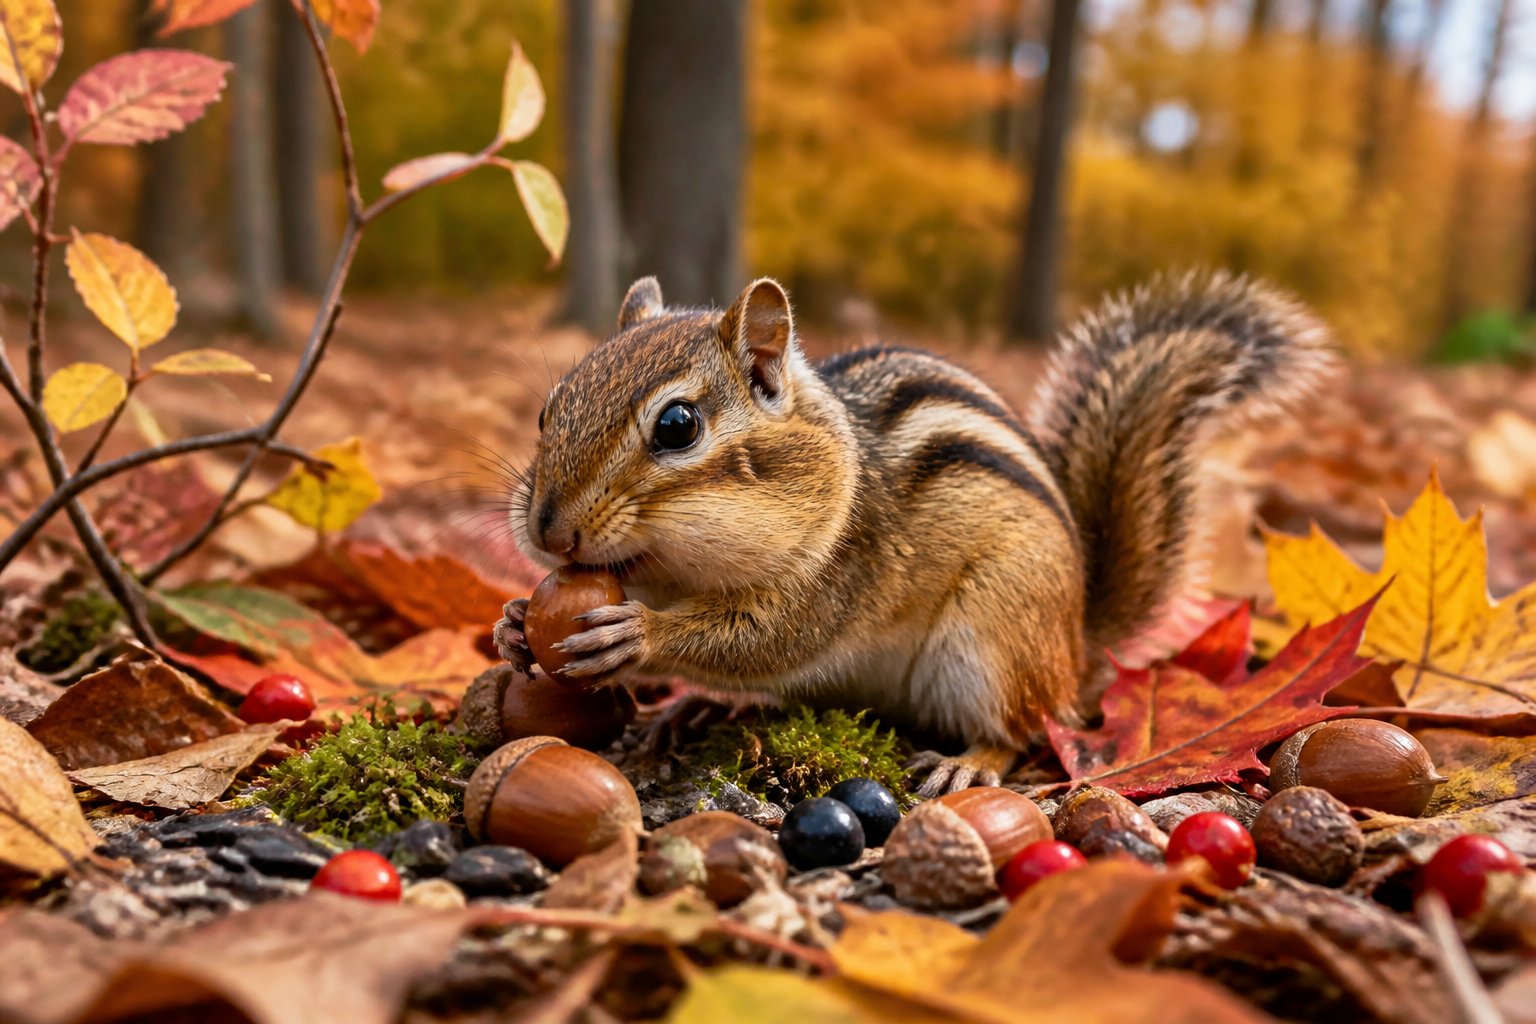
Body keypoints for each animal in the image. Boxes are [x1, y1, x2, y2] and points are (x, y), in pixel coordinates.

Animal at [493, 271, 1335, 796]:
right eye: (549, 407)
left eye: (677, 426)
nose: (547, 530)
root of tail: (1077, 645)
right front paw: (512, 623)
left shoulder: (837, 572)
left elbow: (765, 637)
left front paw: (636, 636)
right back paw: (689, 711)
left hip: (995, 635)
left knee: (1024, 726)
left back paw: (970, 764)